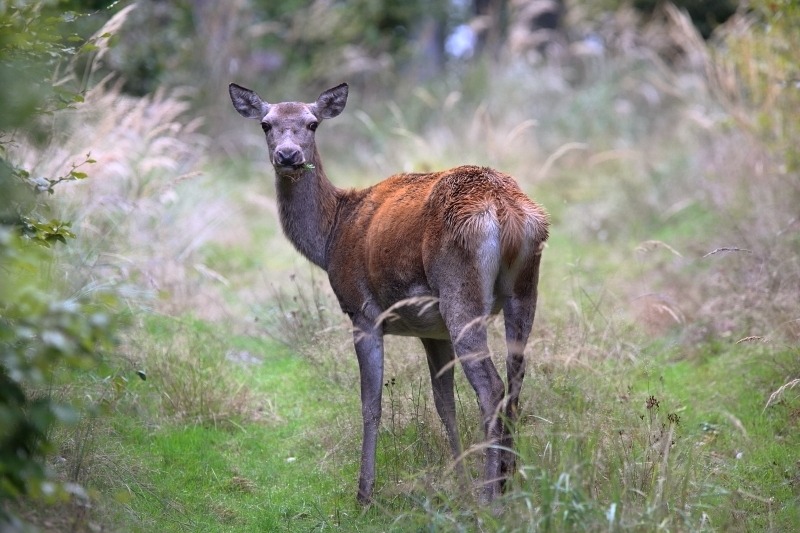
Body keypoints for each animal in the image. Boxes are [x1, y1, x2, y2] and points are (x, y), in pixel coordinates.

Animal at [228, 81, 548, 500]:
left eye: (313, 123)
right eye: (266, 124)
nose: (288, 155)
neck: (331, 237)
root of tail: (504, 208)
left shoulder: (361, 309)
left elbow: (371, 403)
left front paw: (364, 493)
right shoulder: (432, 331)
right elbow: (443, 403)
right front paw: (459, 481)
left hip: (459, 291)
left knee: (491, 387)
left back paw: (490, 496)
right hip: (523, 290)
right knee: (515, 381)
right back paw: (506, 483)